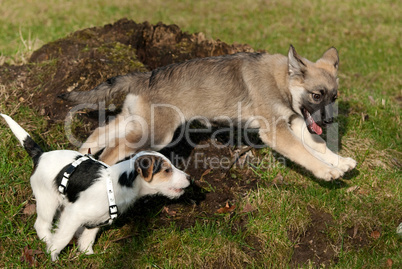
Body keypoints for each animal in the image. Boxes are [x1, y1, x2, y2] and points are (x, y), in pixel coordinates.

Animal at [0, 112, 191, 260]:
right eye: (167, 170)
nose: (189, 178)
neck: (115, 185)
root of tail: (40, 155)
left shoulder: (97, 220)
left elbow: (88, 237)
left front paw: (87, 254)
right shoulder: (74, 215)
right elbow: (63, 236)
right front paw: (54, 252)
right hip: (47, 200)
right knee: (41, 224)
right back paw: (48, 241)